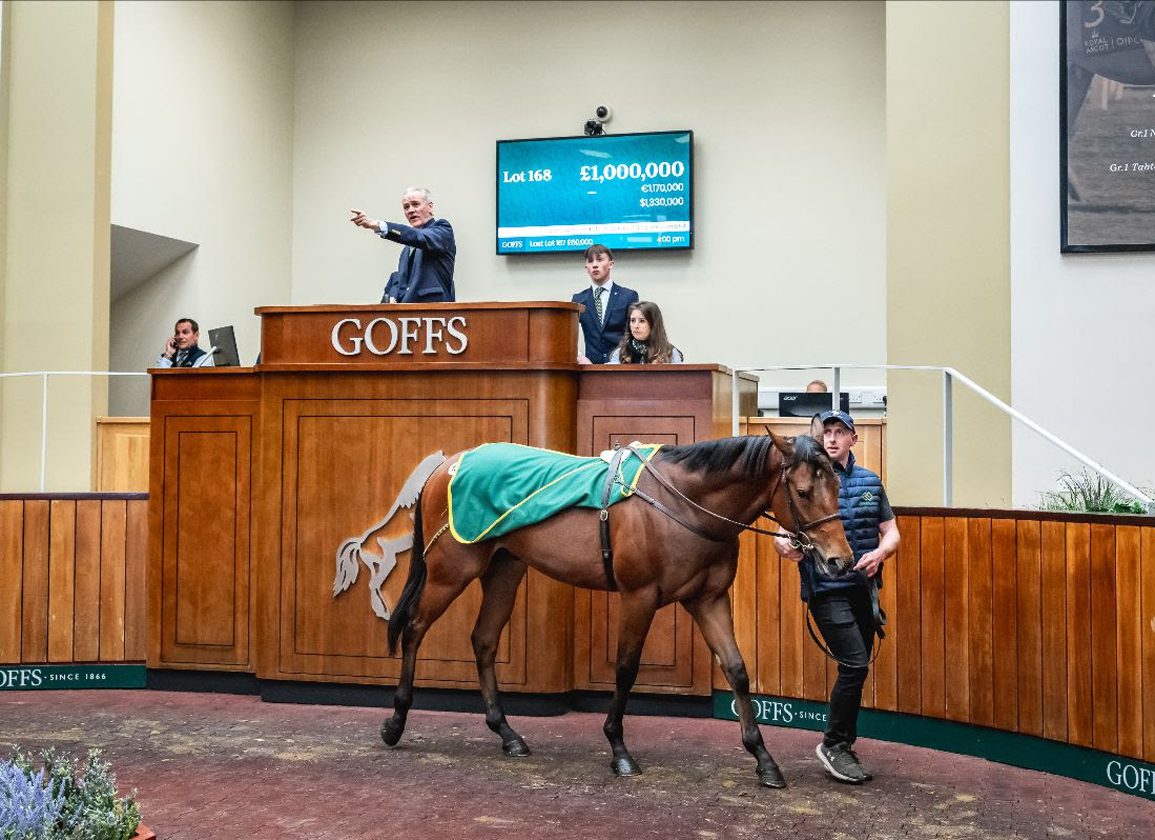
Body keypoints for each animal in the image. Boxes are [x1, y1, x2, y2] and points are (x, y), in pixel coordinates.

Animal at [382, 415, 854, 789]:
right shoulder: (638, 597)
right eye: (803, 491)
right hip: (450, 572)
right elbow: (626, 668)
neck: (680, 503)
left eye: (837, 482)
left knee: (483, 640)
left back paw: (507, 734)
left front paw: (764, 760)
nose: (840, 561)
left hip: (504, 569)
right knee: (414, 628)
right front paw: (619, 749)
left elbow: (737, 670)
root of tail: (447, 465)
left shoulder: (708, 599)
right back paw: (396, 722)